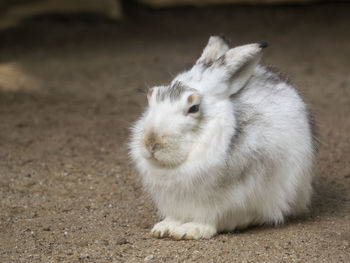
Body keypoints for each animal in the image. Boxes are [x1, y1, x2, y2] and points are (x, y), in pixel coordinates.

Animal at [129, 36, 318, 240]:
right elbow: (175, 217)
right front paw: (165, 227)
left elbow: (210, 218)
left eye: (194, 108)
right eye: (151, 97)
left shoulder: (226, 201)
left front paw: (191, 230)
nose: (151, 142)